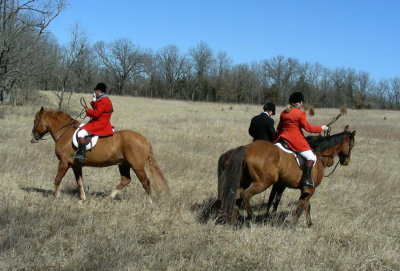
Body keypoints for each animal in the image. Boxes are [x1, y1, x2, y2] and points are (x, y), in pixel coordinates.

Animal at [30, 107, 169, 201]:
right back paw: (109, 197)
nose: (33, 138)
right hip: (123, 164)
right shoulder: (76, 165)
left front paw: (56, 196)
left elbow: (58, 178)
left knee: (146, 182)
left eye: (36, 120)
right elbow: (79, 181)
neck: (65, 133)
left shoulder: (64, 162)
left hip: (137, 167)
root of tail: (145, 139)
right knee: (125, 180)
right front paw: (82, 198)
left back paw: (149, 203)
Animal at [217, 126, 354, 226]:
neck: (319, 155)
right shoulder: (310, 189)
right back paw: (252, 218)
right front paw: (293, 224)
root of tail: (246, 148)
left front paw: (309, 223)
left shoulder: (302, 188)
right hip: (263, 182)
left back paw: (234, 219)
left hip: (245, 181)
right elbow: (301, 207)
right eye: (351, 145)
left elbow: (306, 205)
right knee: (245, 195)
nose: (346, 161)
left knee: (236, 195)